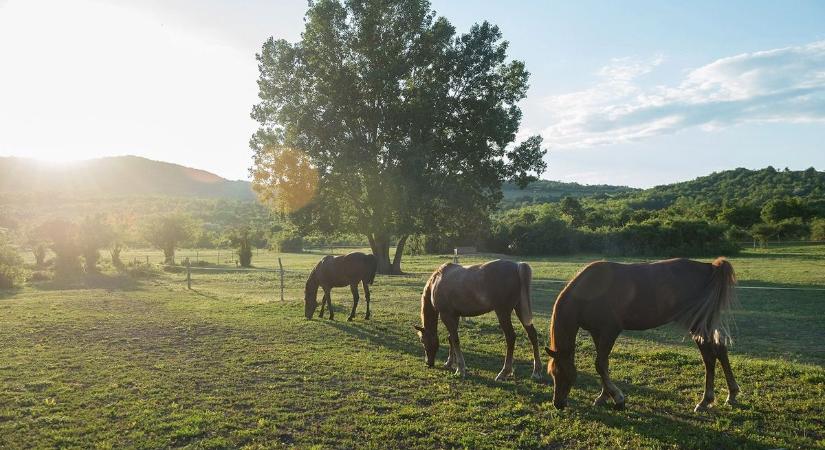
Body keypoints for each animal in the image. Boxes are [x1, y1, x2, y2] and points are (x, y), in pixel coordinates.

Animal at [412, 258, 540, 382]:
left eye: (422, 341)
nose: (428, 363)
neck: (437, 280)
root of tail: (517, 266)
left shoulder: (446, 315)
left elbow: (455, 340)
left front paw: (460, 369)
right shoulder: (455, 316)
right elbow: (451, 338)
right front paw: (449, 363)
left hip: (503, 313)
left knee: (511, 337)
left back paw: (504, 373)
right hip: (520, 309)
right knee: (532, 335)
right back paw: (536, 372)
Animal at [544, 256, 736, 412]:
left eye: (561, 373)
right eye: (552, 374)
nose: (558, 404)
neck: (588, 292)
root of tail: (709, 268)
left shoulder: (609, 332)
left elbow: (600, 364)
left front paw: (618, 399)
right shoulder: (597, 333)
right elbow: (603, 364)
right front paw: (604, 396)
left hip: (697, 324)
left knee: (709, 357)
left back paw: (705, 401)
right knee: (720, 349)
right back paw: (731, 395)